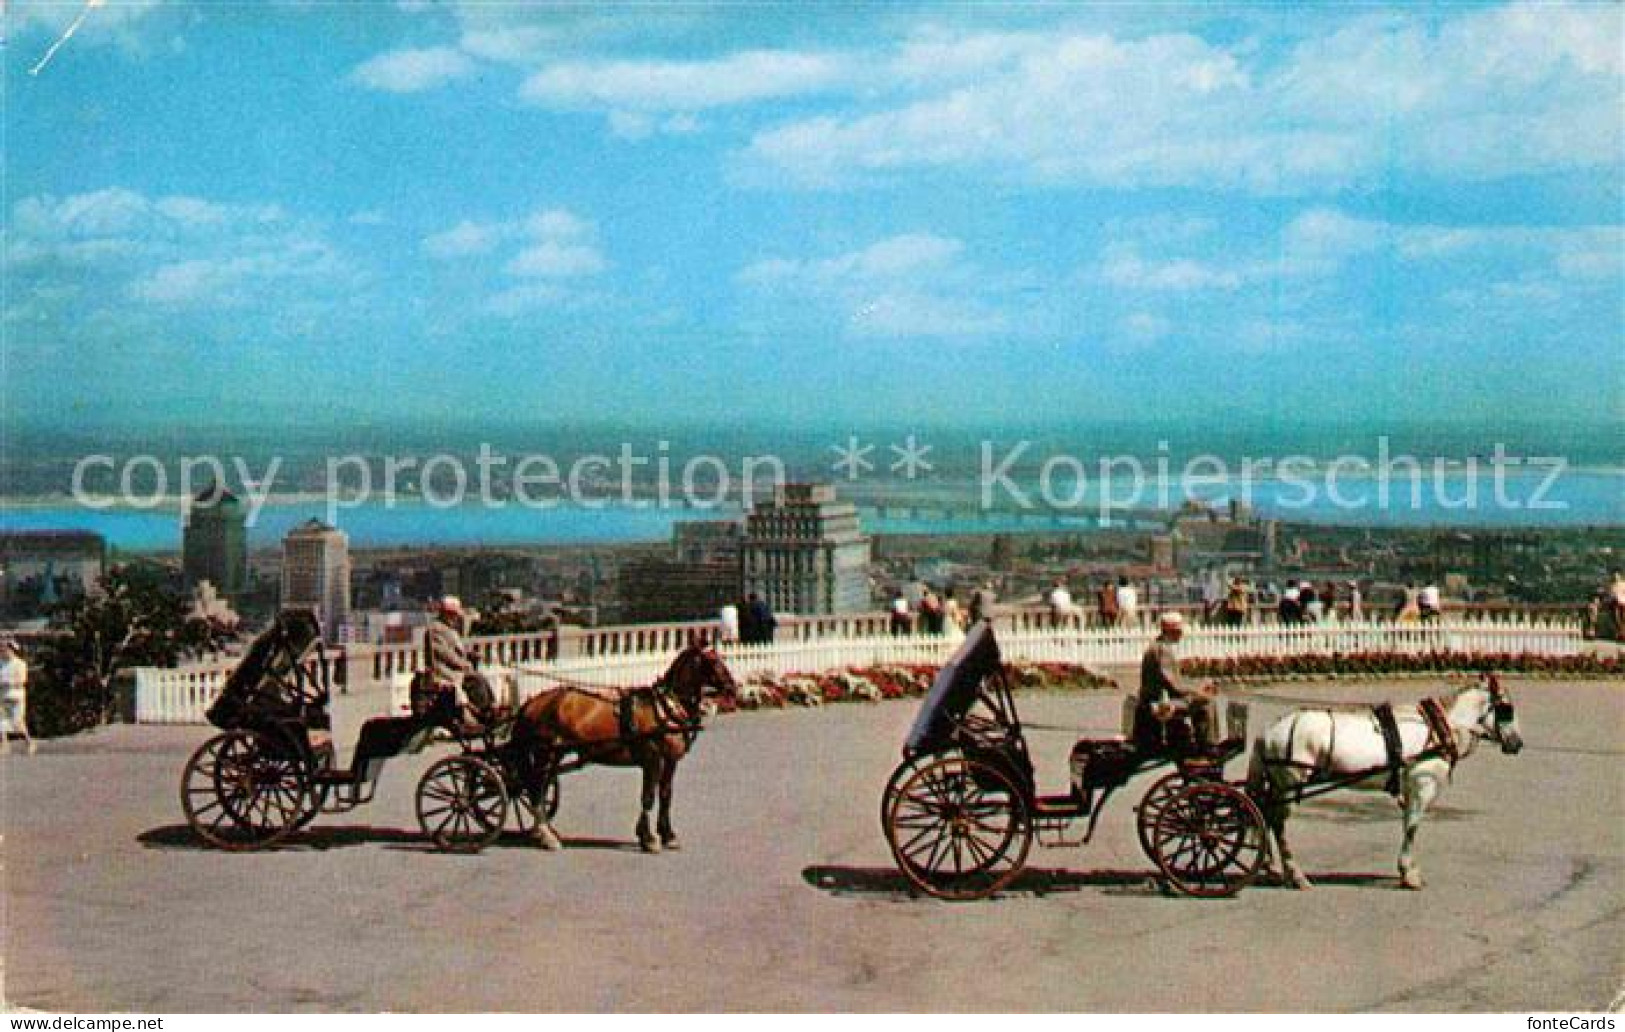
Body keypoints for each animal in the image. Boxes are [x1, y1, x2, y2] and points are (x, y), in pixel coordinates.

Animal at [510, 643, 741, 851]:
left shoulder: (670, 761)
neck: (665, 709)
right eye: (713, 662)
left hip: (553, 755)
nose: (733, 688)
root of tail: (532, 703)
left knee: (539, 790)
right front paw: (648, 838)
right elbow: (648, 797)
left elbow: (666, 795)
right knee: (536, 790)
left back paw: (544, 832)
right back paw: (547, 836)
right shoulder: (652, 760)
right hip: (545, 754)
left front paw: (668, 835)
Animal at [1241, 672, 1521, 890]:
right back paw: (1295, 875)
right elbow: (1412, 827)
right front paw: (1409, 874)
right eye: (1506, 709)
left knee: (1265, 817)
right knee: (1278, 823)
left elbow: (1407, 825)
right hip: (1289, 783)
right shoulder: (1422, 787)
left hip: (1278, 786)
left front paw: (1408, 870)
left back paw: (1272, 868)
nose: (1517, 743)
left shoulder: (1410, 790)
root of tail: (1268, 731)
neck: (1439, 729)